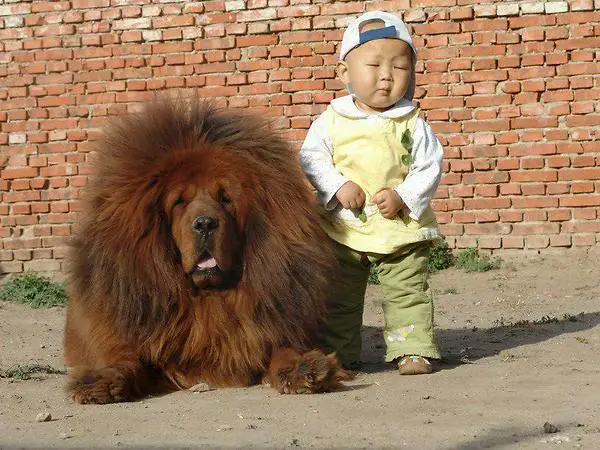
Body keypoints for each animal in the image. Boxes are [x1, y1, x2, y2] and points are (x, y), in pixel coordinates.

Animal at [62, 99, 350, 404]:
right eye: (179, 201)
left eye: (226, 199)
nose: (205, 223)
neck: (208, 299)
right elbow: (126, 360)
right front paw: (101, 382)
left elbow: (283, 349)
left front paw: (304, 368)